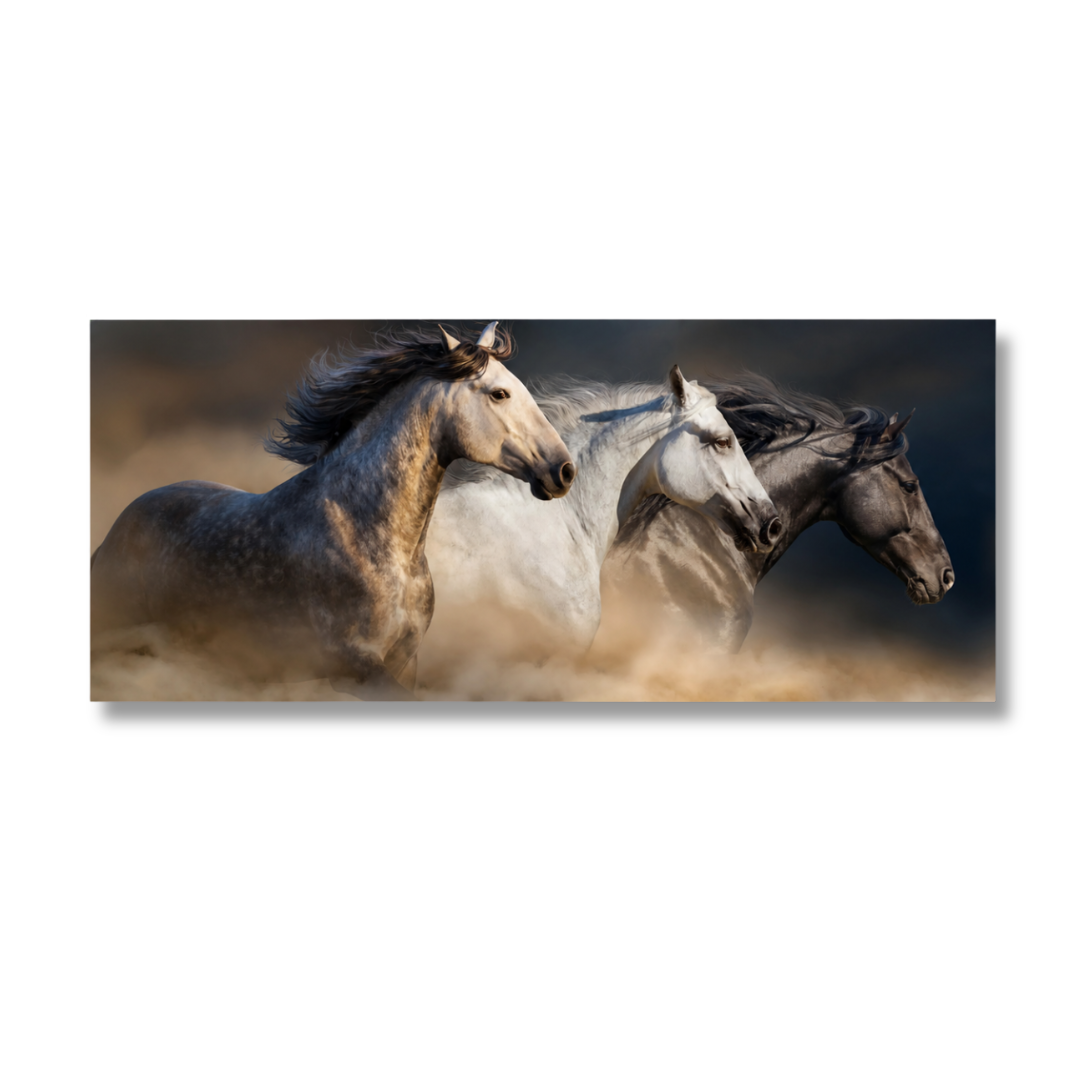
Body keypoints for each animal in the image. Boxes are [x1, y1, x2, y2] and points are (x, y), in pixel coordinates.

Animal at [90, 322, 576, 696]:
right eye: (499, 394)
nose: (564, 470)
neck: (368, 533)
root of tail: (112, 537)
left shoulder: (405, 662)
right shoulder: (355, 665)